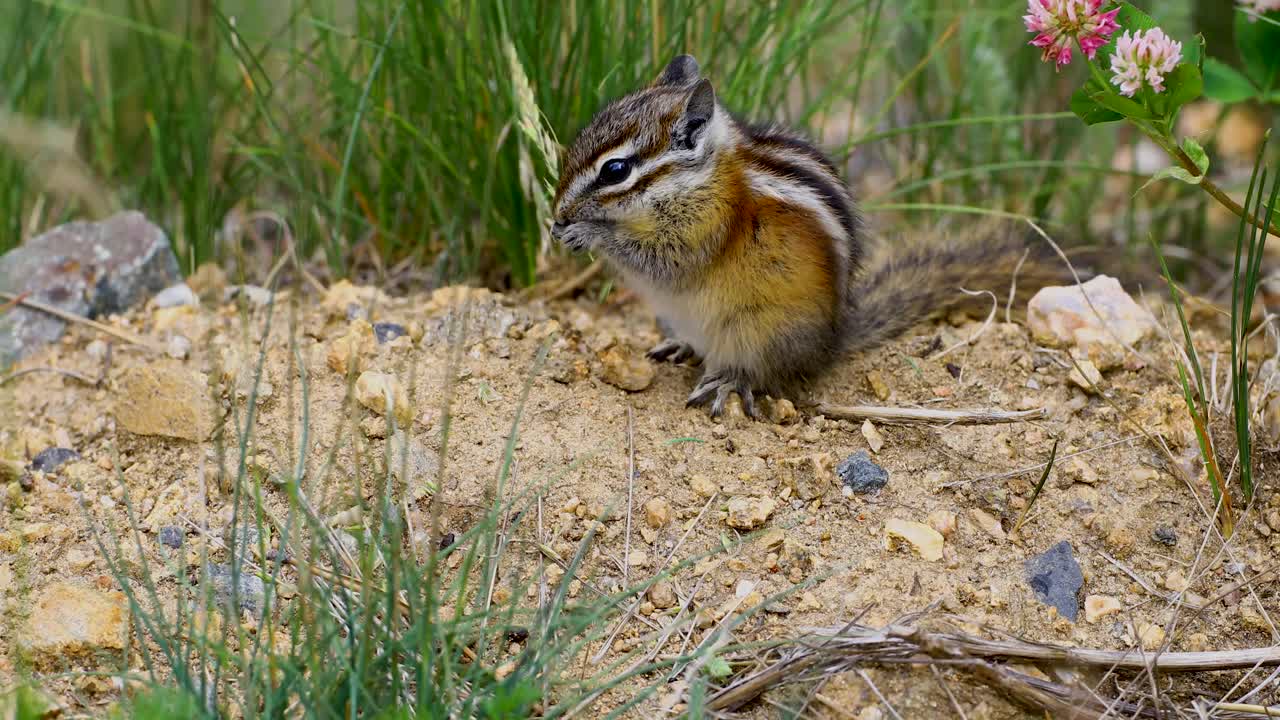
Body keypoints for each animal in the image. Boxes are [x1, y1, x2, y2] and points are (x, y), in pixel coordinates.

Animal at [551, 54, 1074, 418]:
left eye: (616, 170)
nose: (557, 217)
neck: (701, 177)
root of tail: (830, 344)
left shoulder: (703, 227)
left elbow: (663, 260)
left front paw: (590, 232)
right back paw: (682, 345)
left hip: (756, 331)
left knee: (762, 374)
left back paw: (729, 380)